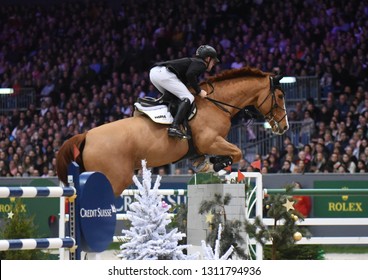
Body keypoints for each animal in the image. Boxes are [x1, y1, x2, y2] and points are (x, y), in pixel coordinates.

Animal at [56, 66, 288, 196]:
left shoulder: (204, 146)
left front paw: (209, 164)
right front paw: (219, 164)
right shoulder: (210, 140)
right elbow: (237, 152)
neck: (216, 103)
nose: (284, 127)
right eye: (280, 96)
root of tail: (86, 135)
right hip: (113, 180)